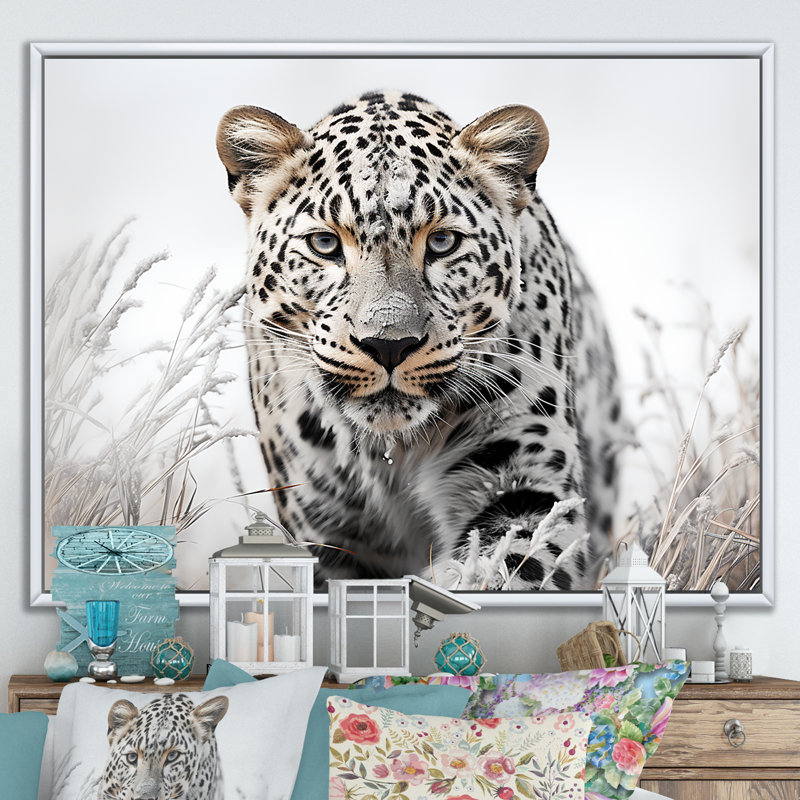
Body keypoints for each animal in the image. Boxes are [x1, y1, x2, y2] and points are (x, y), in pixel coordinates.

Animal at [216, 90, 626, 590]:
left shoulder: (526, 478)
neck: (390, 455)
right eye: (324, 245)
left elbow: (504, 566)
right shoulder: (323, 525)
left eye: (443, 242)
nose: (388, 345)